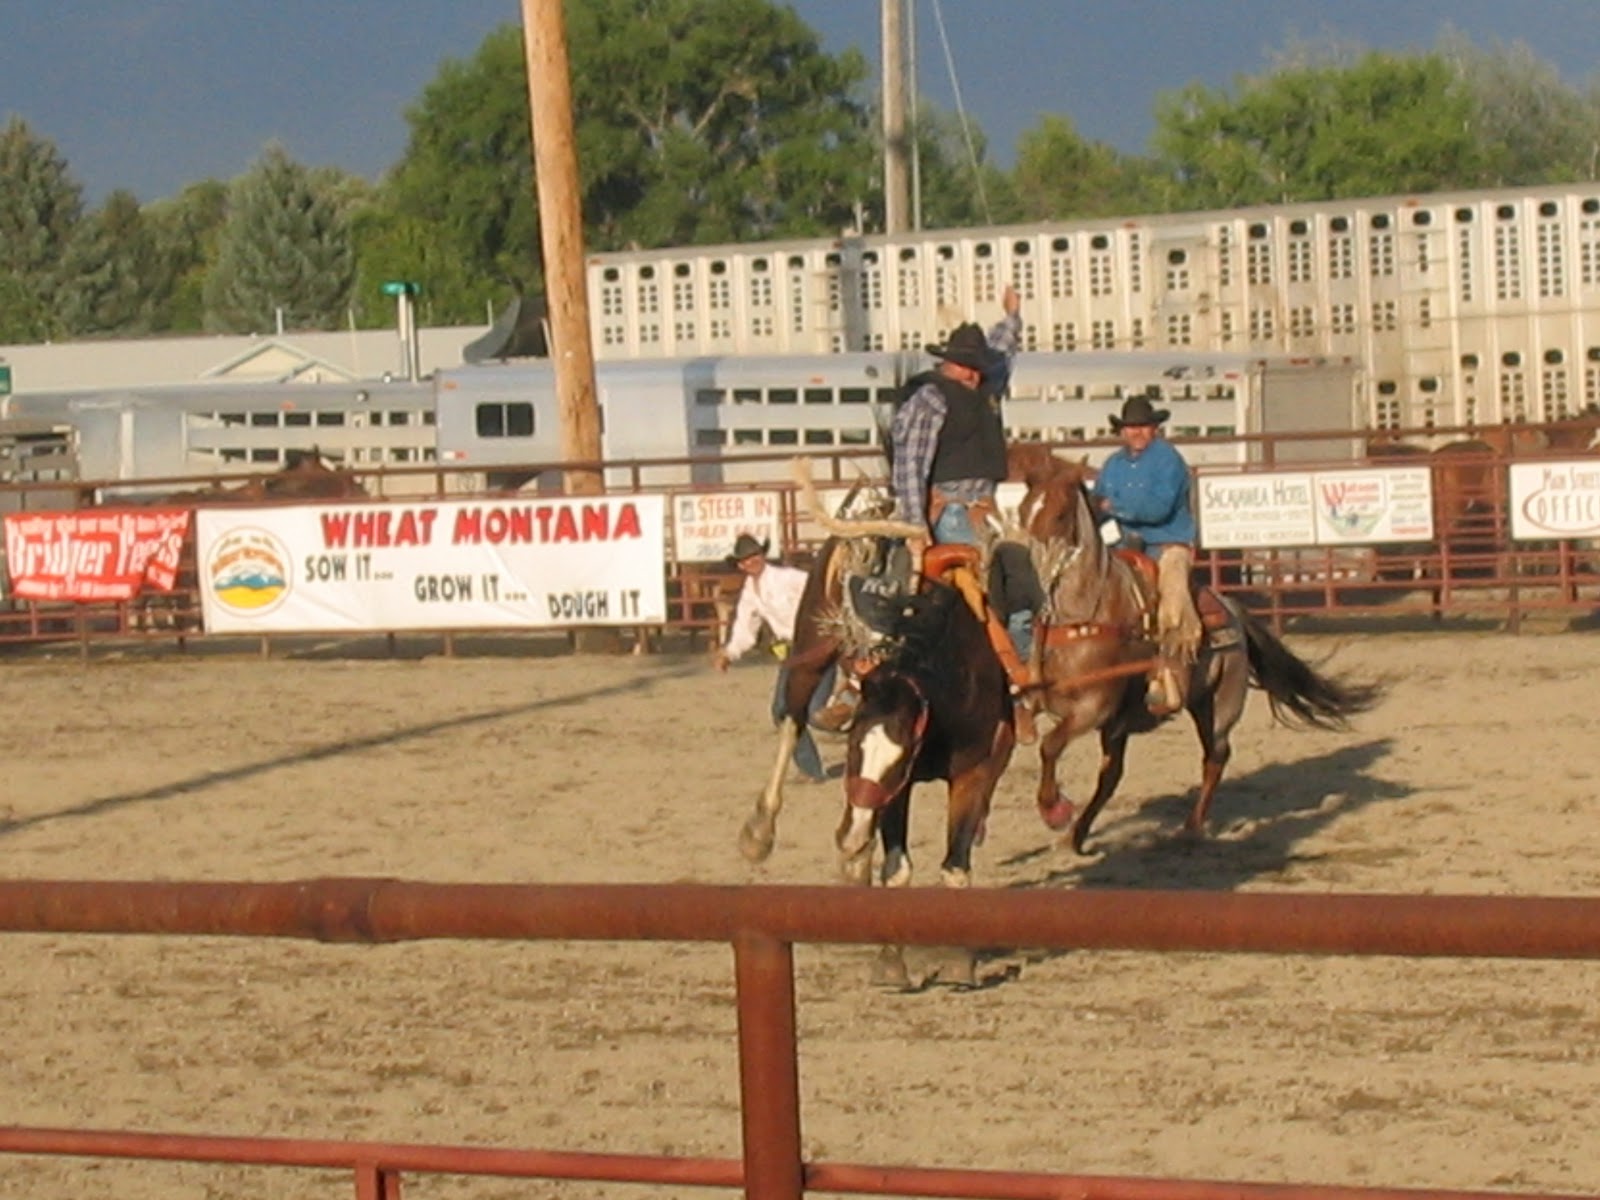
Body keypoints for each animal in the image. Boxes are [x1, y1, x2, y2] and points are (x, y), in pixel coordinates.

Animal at [1021, 459, 1380, 855]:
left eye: (1058, 515)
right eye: (1023, 511)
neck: (1085, 616)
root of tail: (1232, 610)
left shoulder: (1093, 708)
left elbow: (1049, 745)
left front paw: (1053, 809)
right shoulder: (1052, 702)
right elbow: (1038, 736)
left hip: (1218, 704)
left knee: (1216, 756)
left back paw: (1191, 827)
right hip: (1128, 725)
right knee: (1112, 775)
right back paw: (1076, 836)